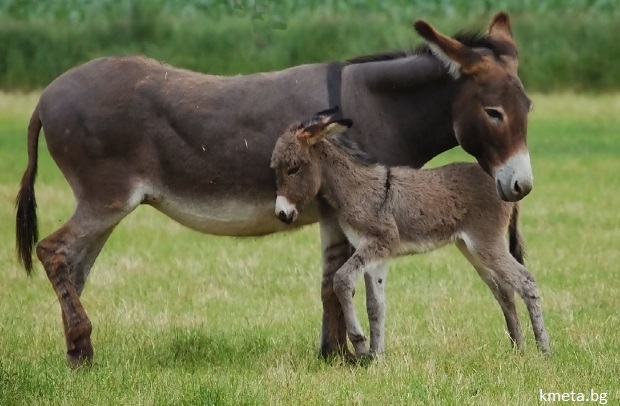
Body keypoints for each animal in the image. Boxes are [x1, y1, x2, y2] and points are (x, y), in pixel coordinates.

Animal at [268, 108, 548, 358]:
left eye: (293, 168)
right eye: (276, 169)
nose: (282, 213)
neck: (357, 189)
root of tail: (503, 188)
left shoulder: (380, 242)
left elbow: (342, 280)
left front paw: (360, 343)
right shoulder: (375, 254)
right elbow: (375, 306)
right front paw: (376, 356)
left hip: (487, 244)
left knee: (526, 281)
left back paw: (544, 350)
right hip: (472, 249)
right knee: (505, 291)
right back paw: (518, 349)